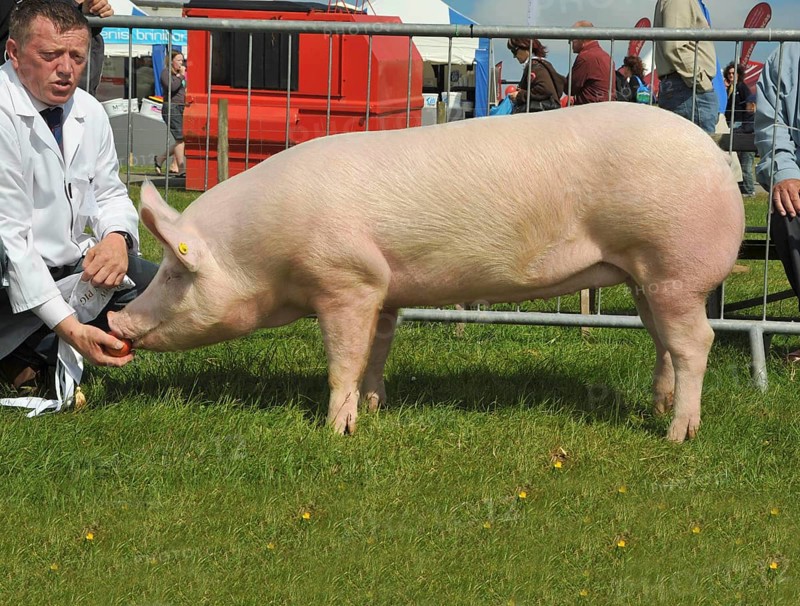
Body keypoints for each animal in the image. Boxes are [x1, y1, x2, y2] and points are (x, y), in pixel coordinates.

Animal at [109, 102, 744, 442]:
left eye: (174, 274)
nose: (118, 323)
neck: (266, 257)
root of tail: (719, 160)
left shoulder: (345, 279)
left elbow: (343, 358)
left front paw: (337, 430)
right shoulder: (383, 288)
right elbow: (377, 350)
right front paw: (375, 406)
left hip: (676, 266)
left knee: (695, 341)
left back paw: (678, 433)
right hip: (645, 277)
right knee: (663, 342)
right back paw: (658, 407)